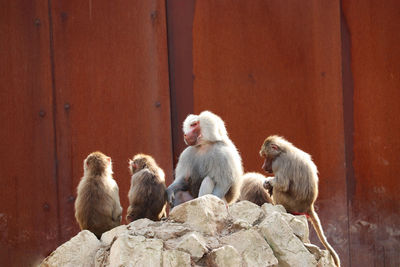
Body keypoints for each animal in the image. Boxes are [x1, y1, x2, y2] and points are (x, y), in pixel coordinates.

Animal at [260, 136, 340, 267]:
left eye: (266, 156)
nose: (263, 167)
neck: (282, 151)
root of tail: (308, 206)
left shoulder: (279, 163)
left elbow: (282, 184)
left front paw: (267, 181)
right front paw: (267, 184)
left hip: (291, 204)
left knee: (278, 189)